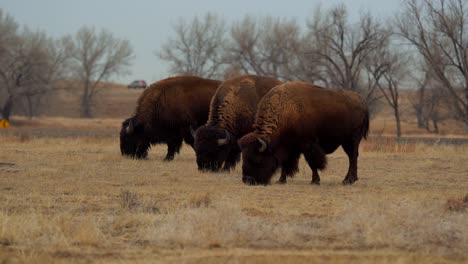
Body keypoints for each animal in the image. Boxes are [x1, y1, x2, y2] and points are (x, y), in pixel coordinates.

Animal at [238, 81, 370, 185]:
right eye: (243, 158)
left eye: (258, 159)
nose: (248, 180)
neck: (286, 110)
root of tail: (362, 101)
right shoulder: (290, 147)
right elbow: (286, 163)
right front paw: (281, 180)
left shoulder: (307, 145)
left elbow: (312, 163)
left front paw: (315, 181)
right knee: (353, 157)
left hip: (351, 140)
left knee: (352, 157)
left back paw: (348, 180)